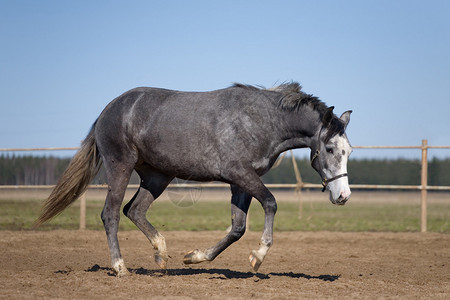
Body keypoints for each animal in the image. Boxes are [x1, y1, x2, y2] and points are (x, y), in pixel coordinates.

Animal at [36, 82, 352, 276]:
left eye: (348, 150)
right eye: (329, 148)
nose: (343, 196)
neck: (260, 121)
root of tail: (108, 109)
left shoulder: (241, 181)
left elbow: (237, 228)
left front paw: (194, 256)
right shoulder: (239, 173)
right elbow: (271, 203)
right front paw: (258, 256)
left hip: (157, 176)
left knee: (133, 210)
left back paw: (161, 254)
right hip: (120, 167)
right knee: (111, 213)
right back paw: (120, 267)